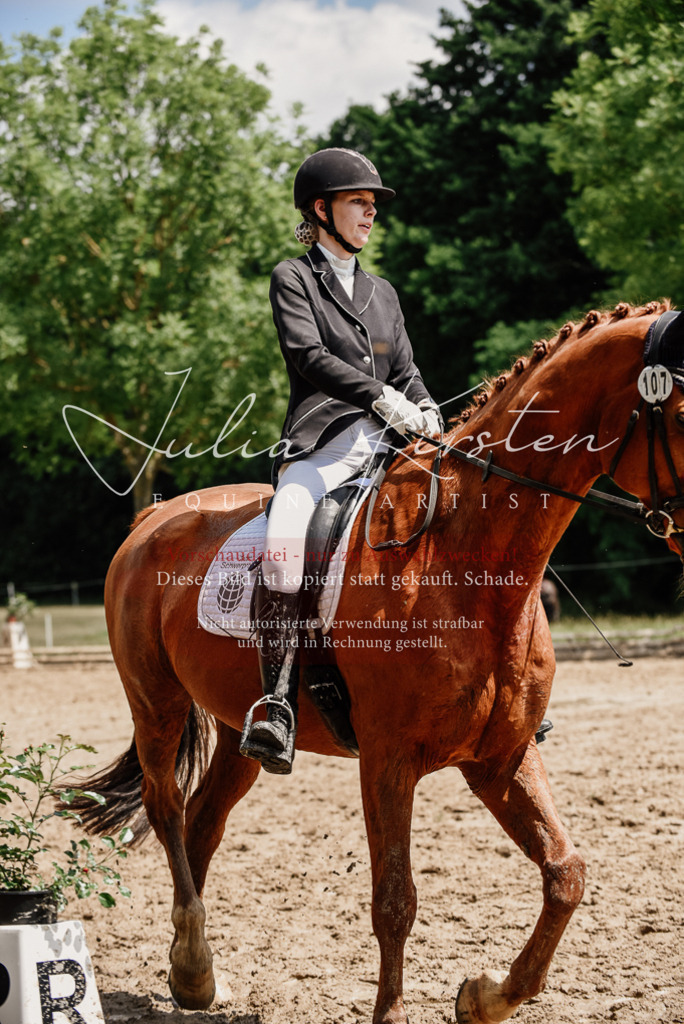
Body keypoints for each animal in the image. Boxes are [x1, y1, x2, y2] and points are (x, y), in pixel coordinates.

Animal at [74, 301, 684, 1024]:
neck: (467, 560)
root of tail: (153, 520)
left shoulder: (501, 757)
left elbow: (566, 874)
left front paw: (484, 996)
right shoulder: (388, 760)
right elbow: (395, 899)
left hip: (235, 726)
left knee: (203, 820)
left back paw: (192, 975)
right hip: (156, 702)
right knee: (167, 806)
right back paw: (194, 961)